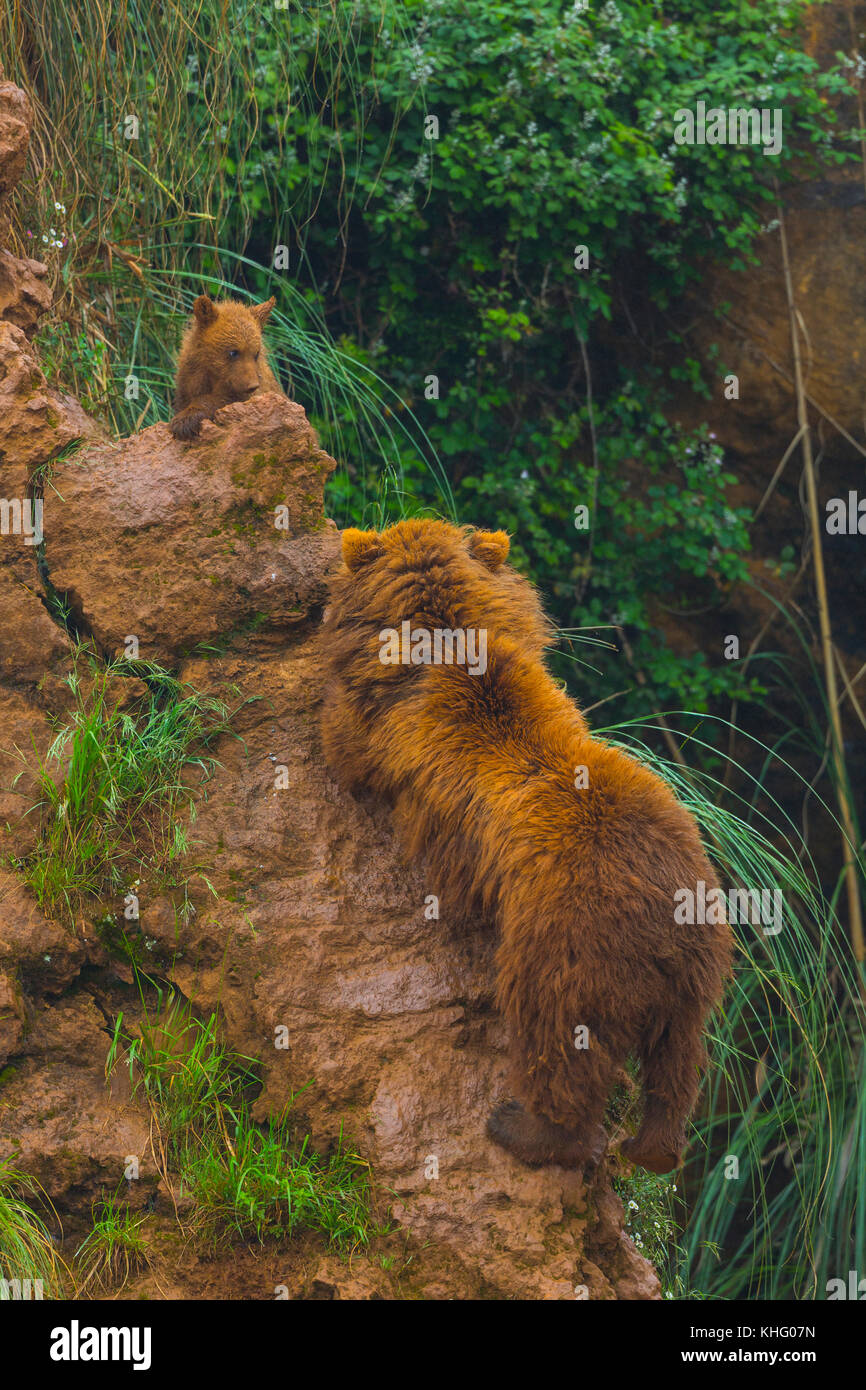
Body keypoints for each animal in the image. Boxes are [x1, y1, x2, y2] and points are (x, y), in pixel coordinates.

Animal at [322, 522, 733, 1173]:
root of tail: (675, 920)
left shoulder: (383, 732)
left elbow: (341, 745)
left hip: (568, 944)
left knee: (557, 1037)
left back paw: (523, 1127)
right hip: (698, 972)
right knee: (679, 1063)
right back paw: (652, 1147)